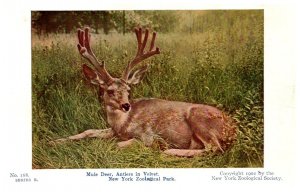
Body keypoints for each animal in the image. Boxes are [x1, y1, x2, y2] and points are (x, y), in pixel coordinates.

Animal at [51, 27, 236, 158]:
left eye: (128, 90)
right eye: (110, 91)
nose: (126, 105)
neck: (122, 124)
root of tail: (233, 128)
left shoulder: (147, 135)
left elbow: (119, 144)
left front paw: (160, 146)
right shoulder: (112, 130)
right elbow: (88, 131)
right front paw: (55, 141)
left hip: (199, 119)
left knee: (216, 148)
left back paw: (171, 151)